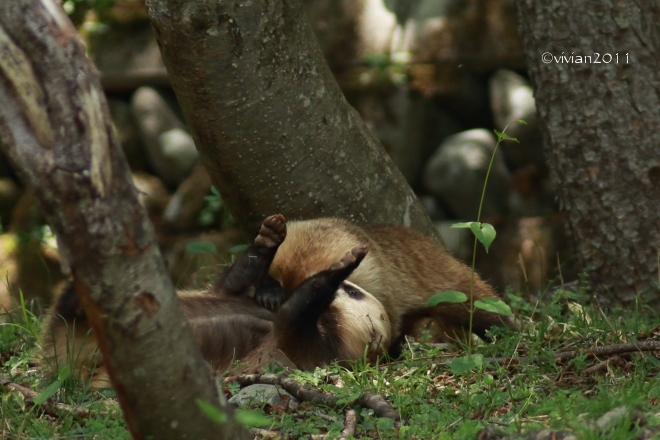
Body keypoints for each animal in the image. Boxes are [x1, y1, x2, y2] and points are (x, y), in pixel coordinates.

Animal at [40, 215, 392, 386]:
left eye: (355, 292)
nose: (347, 284)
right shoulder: (232, 295)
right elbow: (232, 284)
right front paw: (267, 240)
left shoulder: (304, 346)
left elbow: (296, 310)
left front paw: (343, 264)